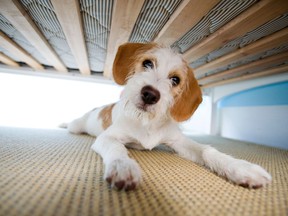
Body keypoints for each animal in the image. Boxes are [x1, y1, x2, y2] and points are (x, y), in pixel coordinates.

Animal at [61, 42, 272, 191]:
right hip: (77, 126)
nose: (150, 94)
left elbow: (206, 150)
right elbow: (117, 148)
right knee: (72, 125)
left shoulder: (178, 141)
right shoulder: (108, 137)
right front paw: (123, 167)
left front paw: (241, 167)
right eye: (147, 63)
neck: (146, 122)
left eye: (175, 80)